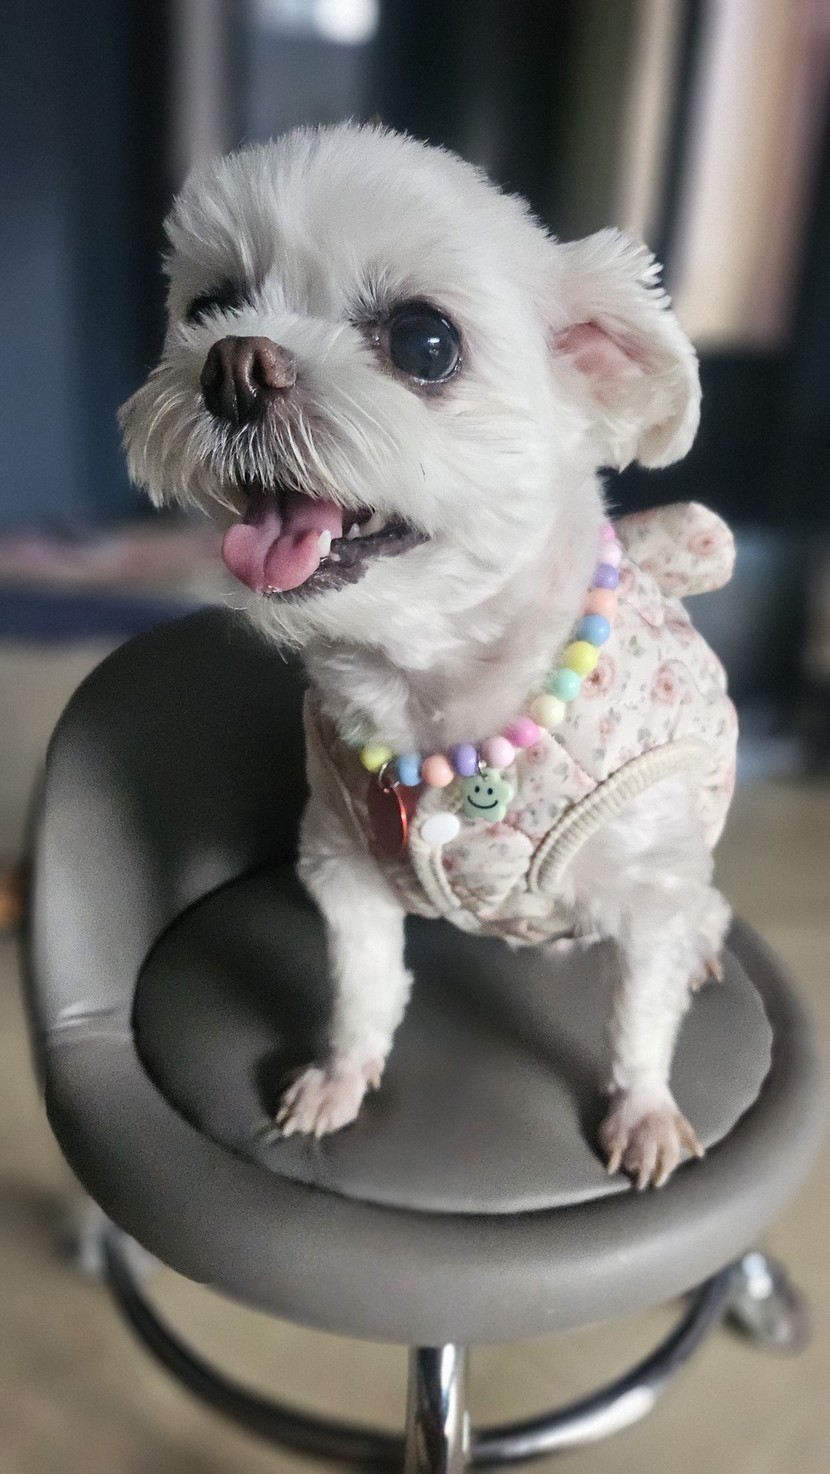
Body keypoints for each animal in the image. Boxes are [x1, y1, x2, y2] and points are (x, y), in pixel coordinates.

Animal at [120, 123, 737, 1190]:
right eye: (208, 307)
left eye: (425, 342)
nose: (234, 363)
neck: (436, 696)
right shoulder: (343, 866)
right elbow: (364, 987)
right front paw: (340, 1074)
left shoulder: (651, 887)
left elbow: (641, 1016)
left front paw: (646, 1108)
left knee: (707, 915)